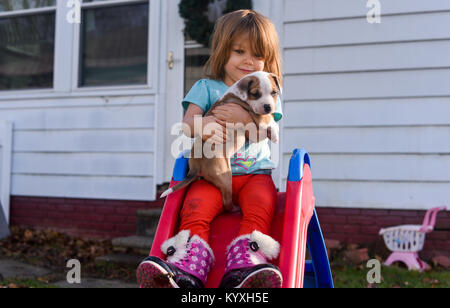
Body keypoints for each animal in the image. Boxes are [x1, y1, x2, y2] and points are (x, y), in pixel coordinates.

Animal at [162, 71, 280, 212]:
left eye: (274, 92)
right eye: (256, 94)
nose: (268, 107)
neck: (238, 94)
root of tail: (195, 165)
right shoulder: (256, 115)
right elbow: (268, 119)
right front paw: (275, 134)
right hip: (224, 175)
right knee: (226, 201)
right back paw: (234, 208)